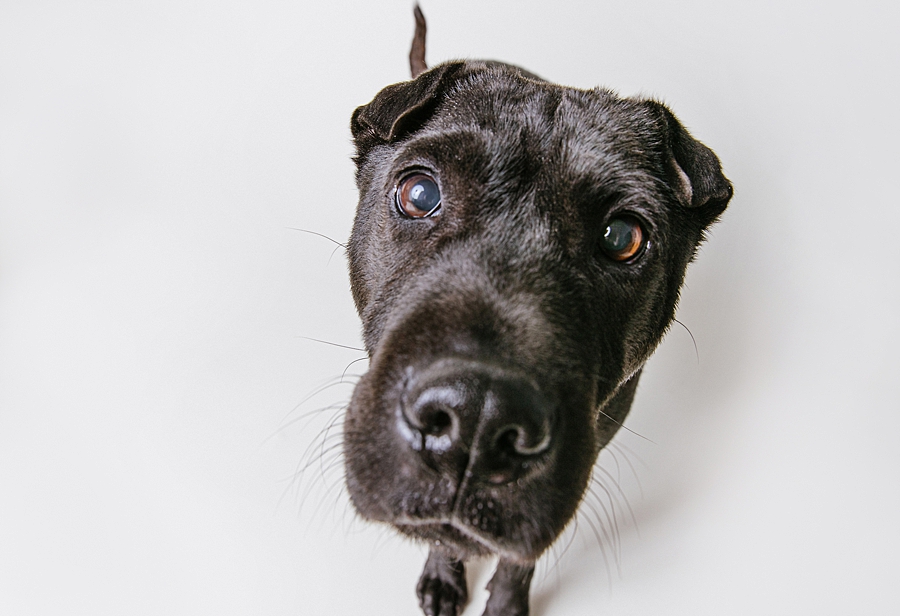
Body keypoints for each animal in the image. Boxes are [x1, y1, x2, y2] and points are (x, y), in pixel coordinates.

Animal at [342, 7, 732, 612]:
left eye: (623, 237)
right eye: (419, 193)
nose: (478, 418)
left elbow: (519, 558)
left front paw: (504, 600)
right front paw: (444, 575)